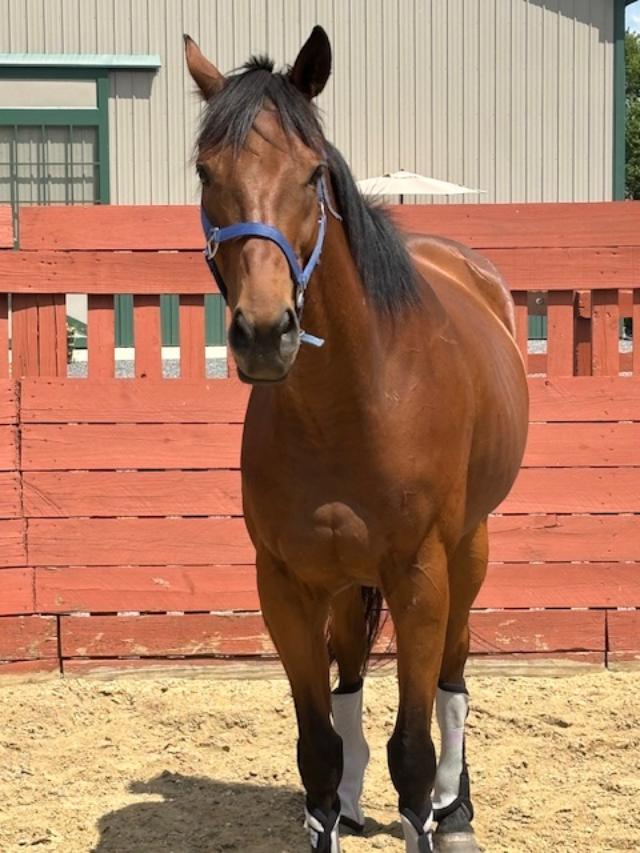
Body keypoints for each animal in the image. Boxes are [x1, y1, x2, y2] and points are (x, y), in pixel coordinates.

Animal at [185, 26, 528, 852]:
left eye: (313, 172)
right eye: (207, 171)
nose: (265, 332)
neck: (351, 402)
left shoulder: (421, 578)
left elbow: (414, 751)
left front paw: (432, 811)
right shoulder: (285, 583)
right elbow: (317, 746)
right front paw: (333, 804)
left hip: (468, 551)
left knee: (454, 678)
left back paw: (456, 809)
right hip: (341, 578)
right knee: (348, 684)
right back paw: (352, 798)